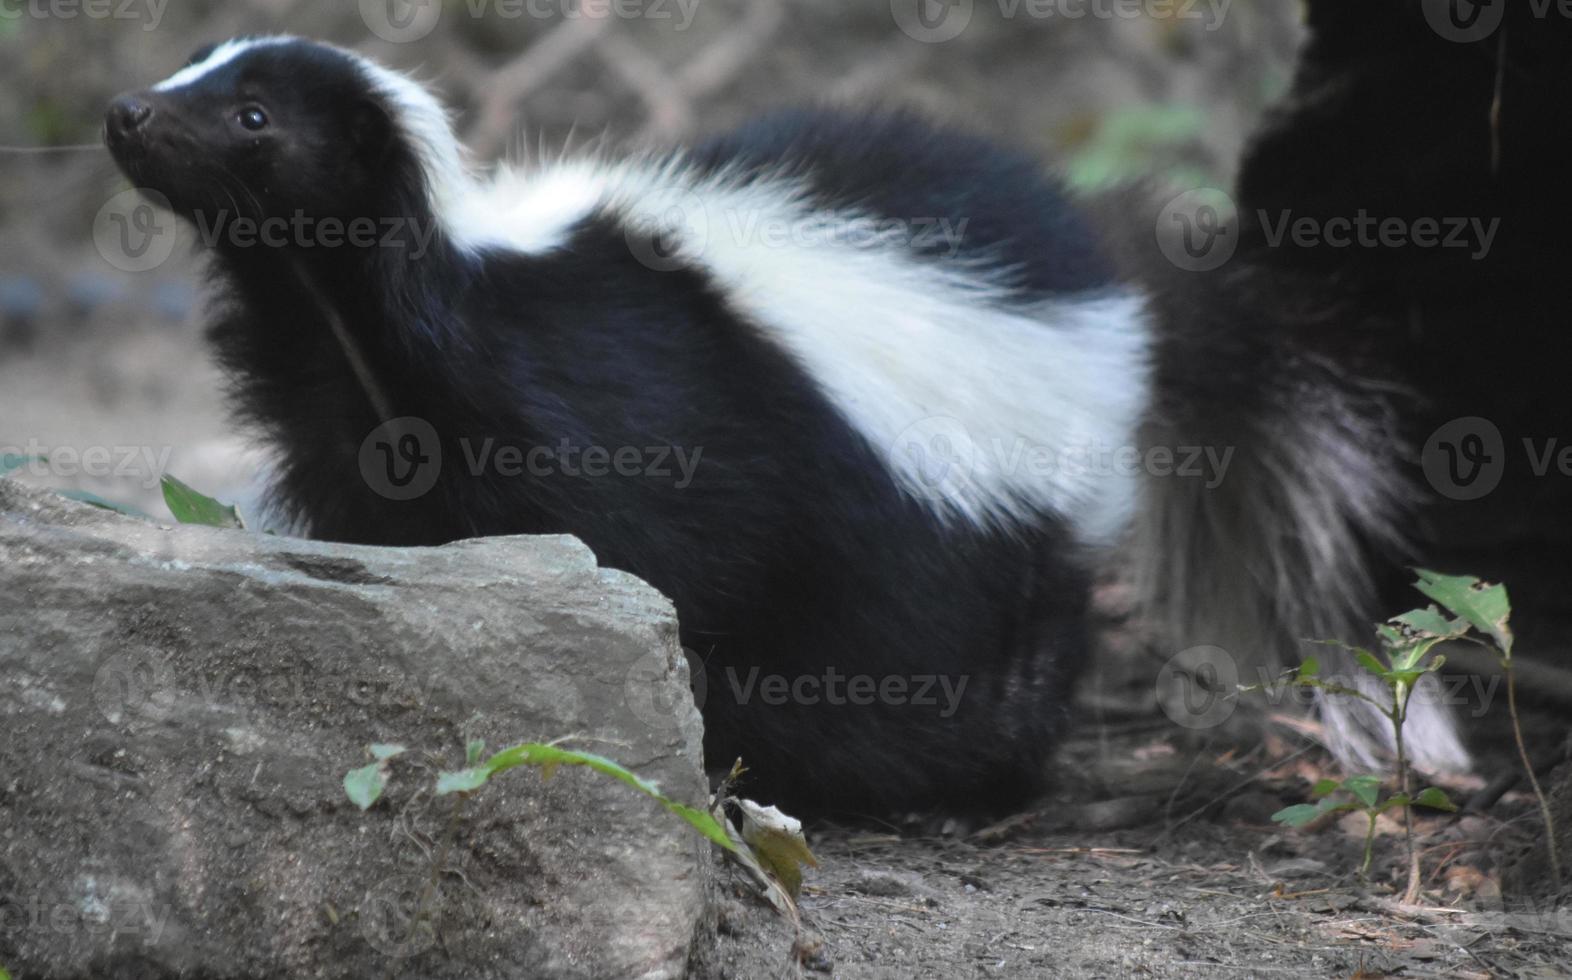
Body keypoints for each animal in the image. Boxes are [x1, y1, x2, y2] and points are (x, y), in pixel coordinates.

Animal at [101, 32, 1458, 811]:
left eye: (255, 116)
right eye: (191, 73)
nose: (125, 112)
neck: (367, 307)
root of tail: (1106, 287)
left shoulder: (620, 410)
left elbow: (650, 559)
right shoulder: (356, 426)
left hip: (954, 538)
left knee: (953, 657)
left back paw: (955, 781)